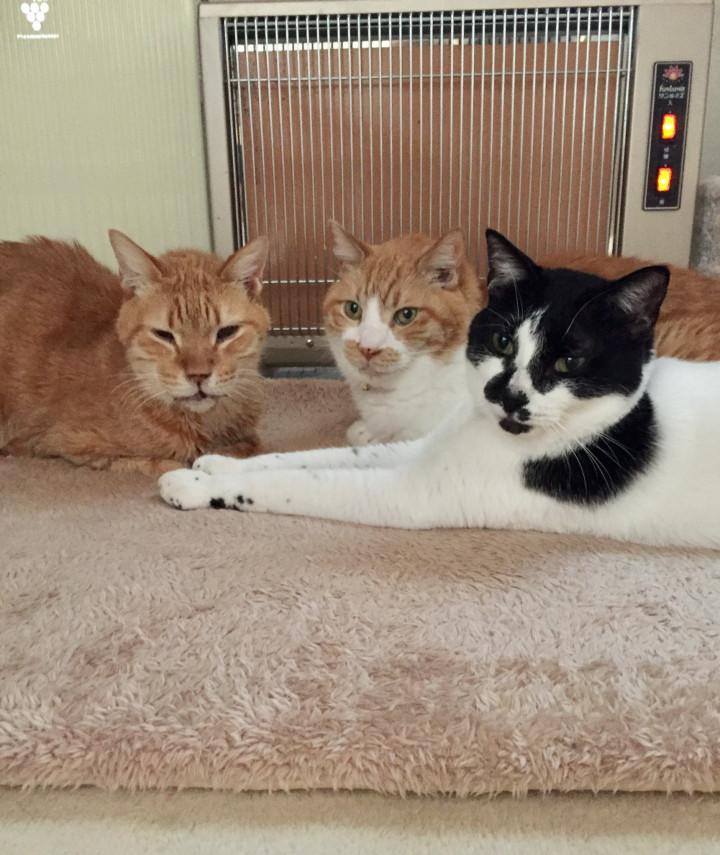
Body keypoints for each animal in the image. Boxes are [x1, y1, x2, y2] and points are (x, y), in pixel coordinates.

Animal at [0, 230, 270, 475]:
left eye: (226, 332)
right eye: (163, 335)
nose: (198, 375)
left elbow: (249, 445)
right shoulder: (63, 441)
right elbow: (160, 462)